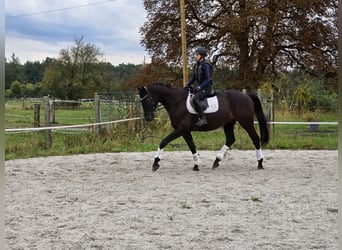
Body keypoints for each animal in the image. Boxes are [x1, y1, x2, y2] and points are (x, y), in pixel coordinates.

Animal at [138, 83, 268, 171]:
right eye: (141, 102)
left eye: (147, 100)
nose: (148, 118)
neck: (177, 102)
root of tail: (247, 96)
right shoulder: (185, 131)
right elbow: (192, 146)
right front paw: (196, 165)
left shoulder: (181, 129)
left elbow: (164, 141)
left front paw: (155, 163)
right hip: (228, 123)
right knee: (230, 139)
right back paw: (216, 161)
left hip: (246, 122)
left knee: (255, 139)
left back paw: (260, 163)